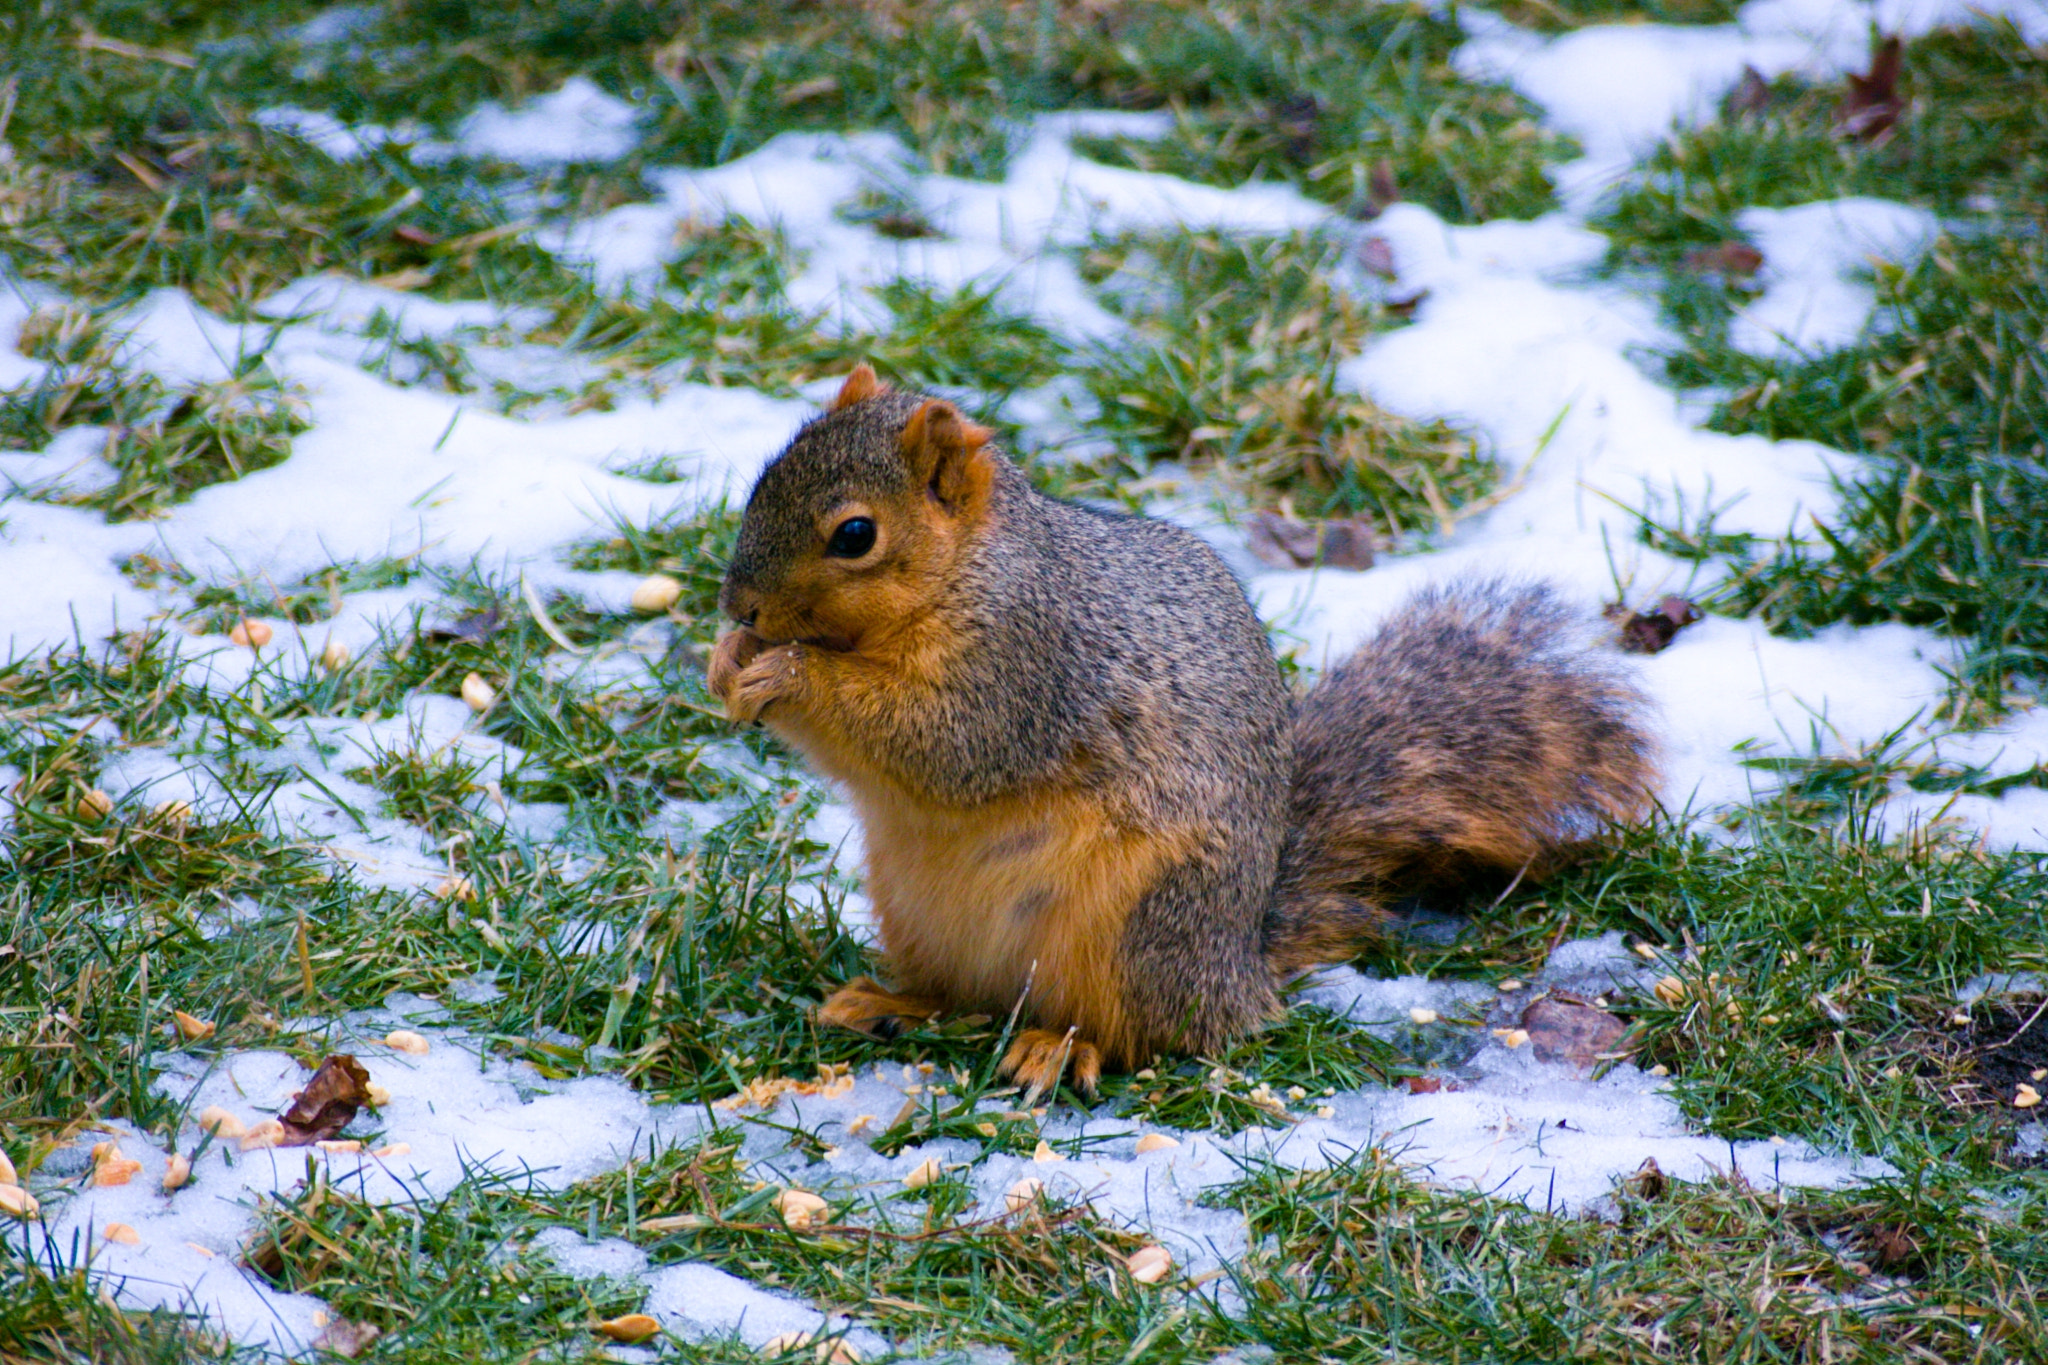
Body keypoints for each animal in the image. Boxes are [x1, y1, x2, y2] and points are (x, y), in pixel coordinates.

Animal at [712, 368, 1654, 1105]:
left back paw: (1060, 1046)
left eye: (855, 535)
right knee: (964, 995)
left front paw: (787, 673)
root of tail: (1240, 968)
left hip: (1135, 926)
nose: (740, 607)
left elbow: (941, 742)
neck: (970, 571)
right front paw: (728, 662)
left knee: (1140, 1032)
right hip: (915, 911)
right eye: (761, 479)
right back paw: (891, 1003)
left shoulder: (1024, 667)